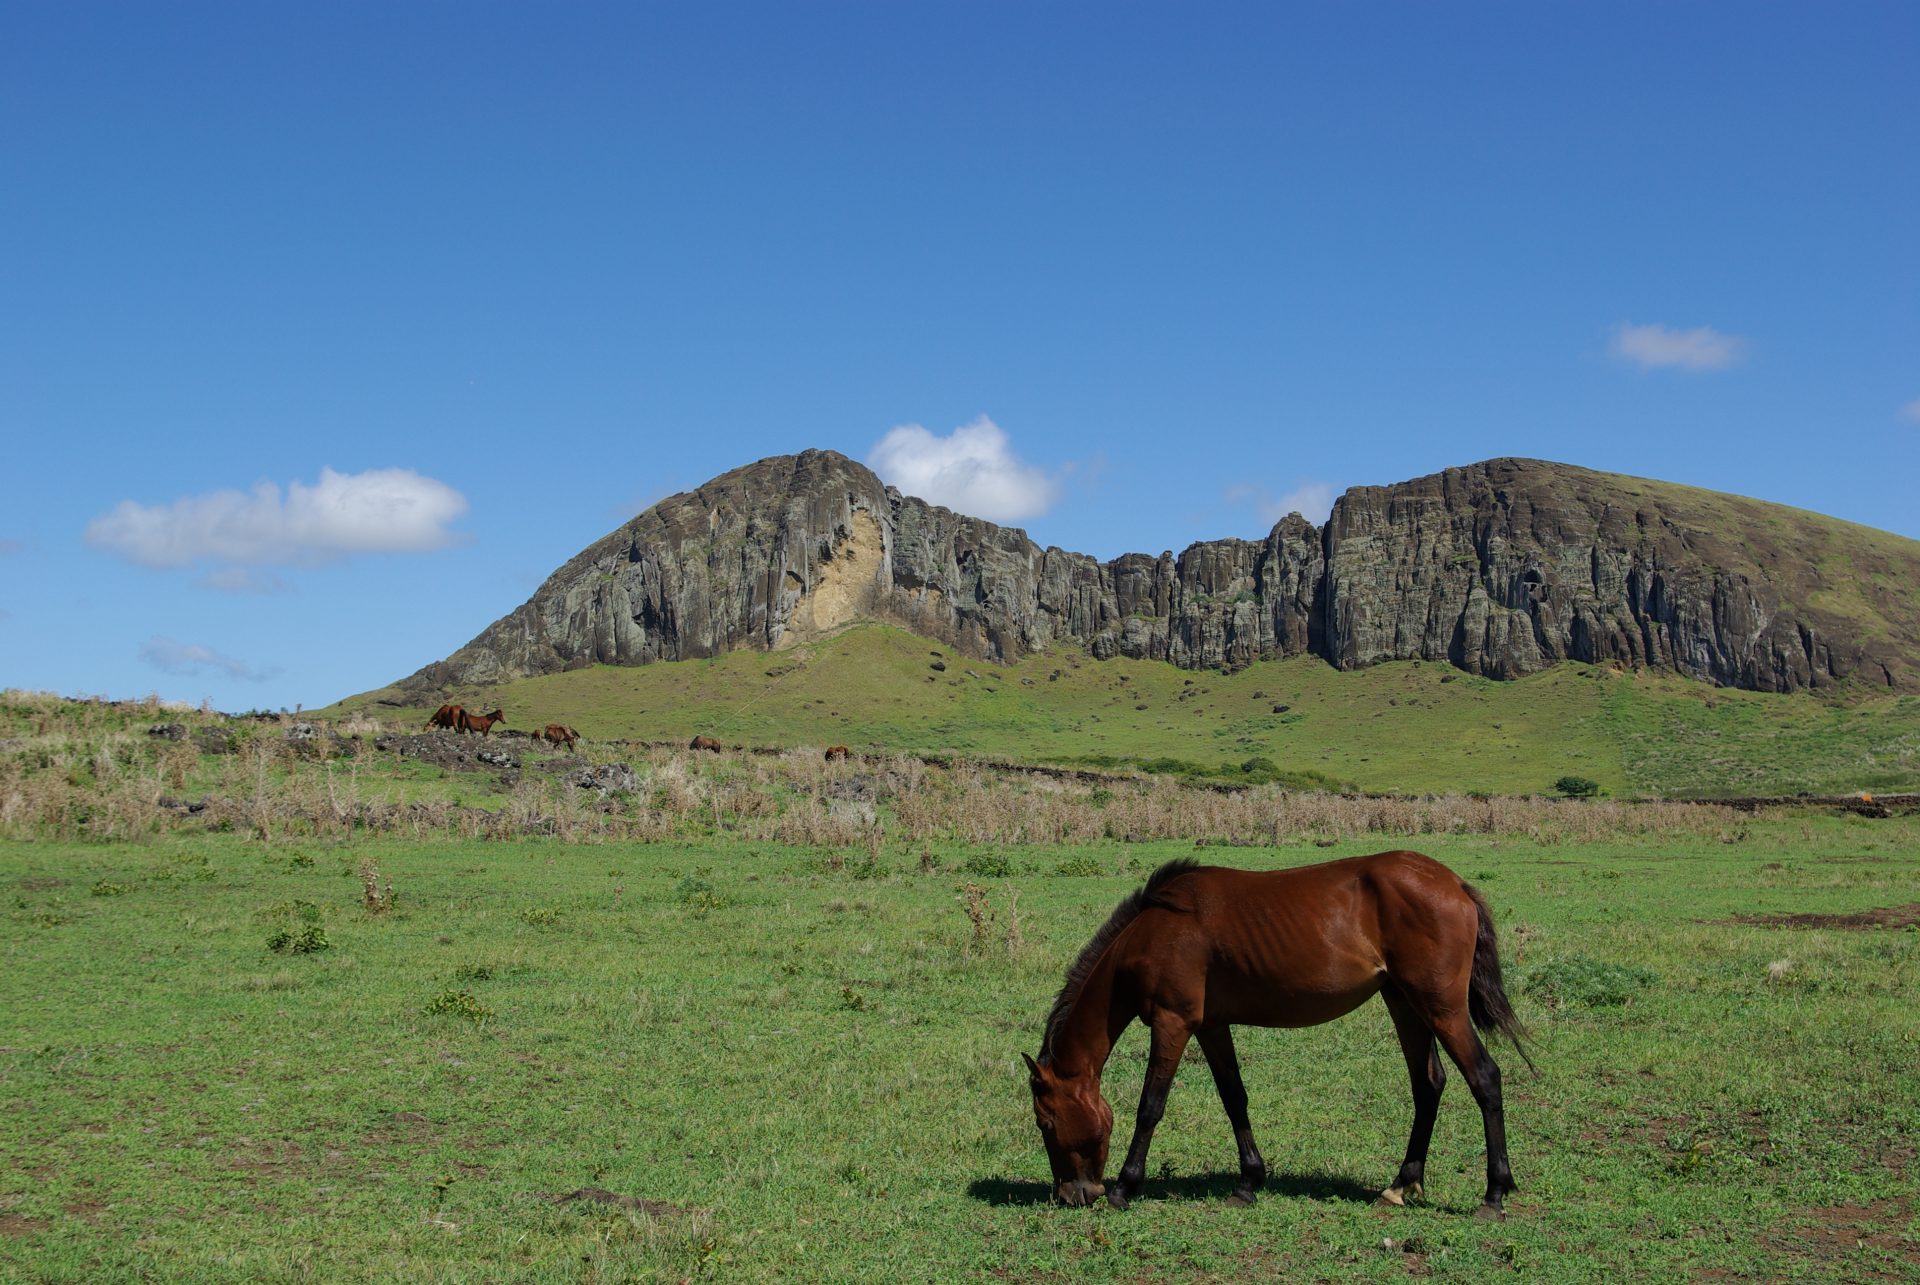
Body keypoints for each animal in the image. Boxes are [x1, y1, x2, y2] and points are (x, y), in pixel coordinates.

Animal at [1029, 856, 1536, 1221]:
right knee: (1428, 1085)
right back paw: (1400, 1185)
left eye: (1045, 1123)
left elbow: (1150, 1106)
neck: (1152, 932)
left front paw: (1124, 1186)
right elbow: (1234, 1097)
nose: (1070, 1195)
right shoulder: (1210, 1026)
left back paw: (1493, 1195)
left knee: (1485, 1078)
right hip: (1405, 1003)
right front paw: (1248, 1182)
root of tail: (1455, 884)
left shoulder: (1173, 1023)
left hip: (1441, 1008)